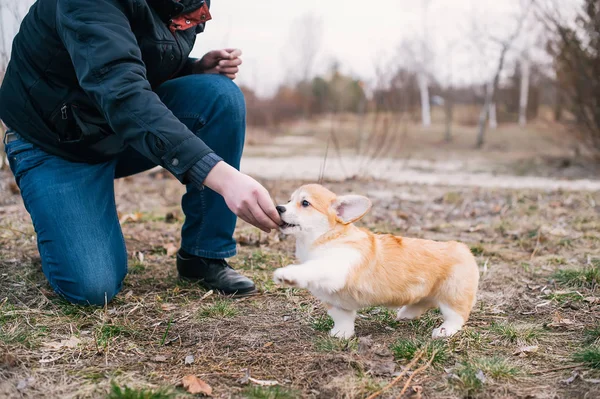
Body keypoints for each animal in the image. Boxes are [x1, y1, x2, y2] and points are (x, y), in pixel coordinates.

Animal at [274, 185, 480, 340]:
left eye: (305, 203)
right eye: (289, 200)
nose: (278, 208)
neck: (324, 237)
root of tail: (463, 248)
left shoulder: (338, 267)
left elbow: (313, 267)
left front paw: (288, 274)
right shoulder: (337, 301)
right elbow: (342, 318)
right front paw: (341, 334)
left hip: (452, 294)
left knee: (456, 316)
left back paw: (444, 331)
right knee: (424, 301)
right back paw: (406, 314)